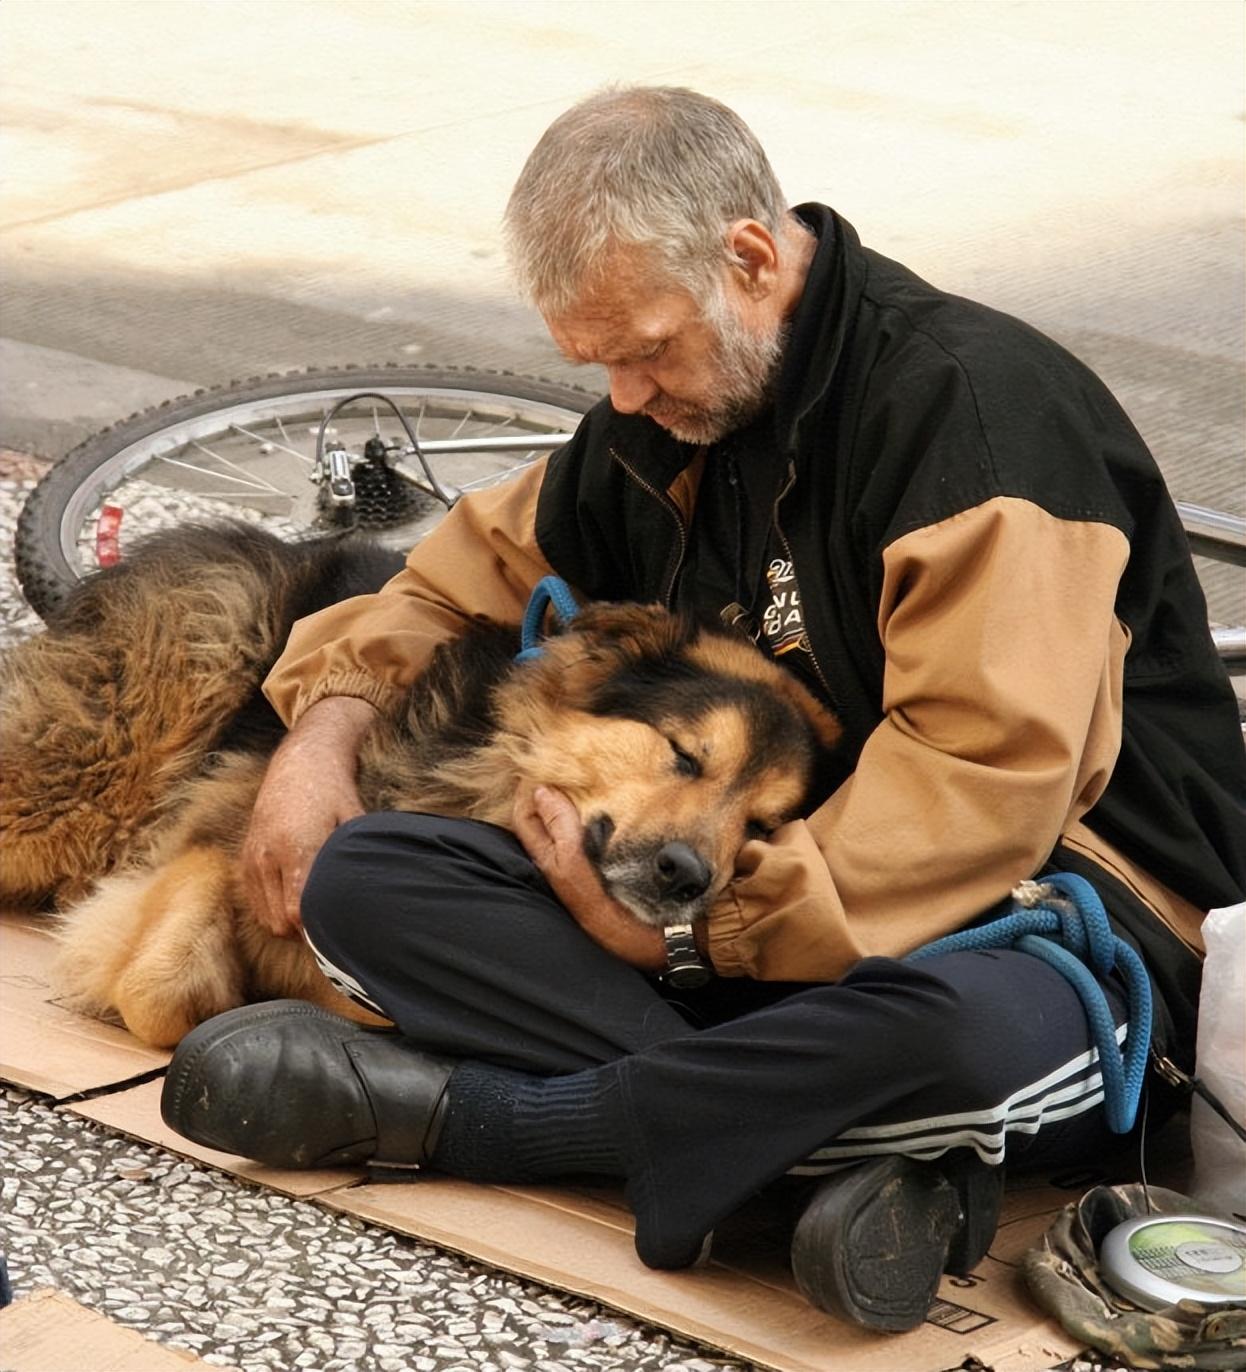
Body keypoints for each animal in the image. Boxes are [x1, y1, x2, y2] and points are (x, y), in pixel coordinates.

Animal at [0, 518, 839, 1042]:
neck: (490, 773)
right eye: (685, 755)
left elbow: (172, 992)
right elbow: (163, 982)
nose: (688, 875)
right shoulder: (241, 833)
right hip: (90, 776)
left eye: (764, 827)